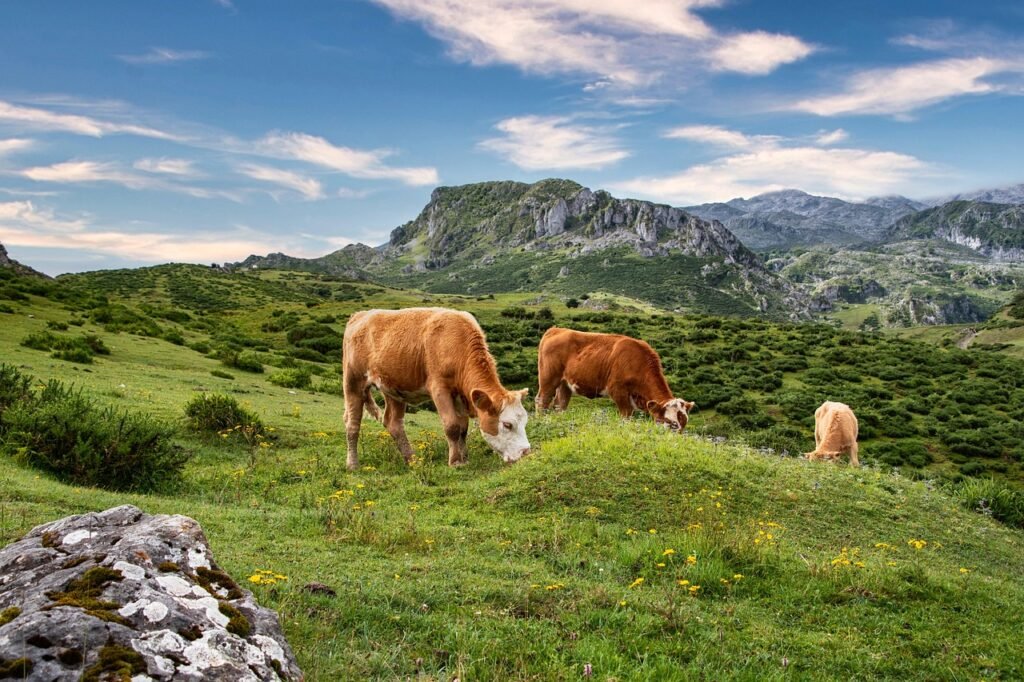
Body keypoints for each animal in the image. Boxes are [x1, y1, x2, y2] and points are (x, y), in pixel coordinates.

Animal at [342, 307, 530, 470]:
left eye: (525, 421)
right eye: (507, 424)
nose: (526, 452)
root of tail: (360, 315)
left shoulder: (460, 395)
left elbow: (463, 428)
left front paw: (464, 458)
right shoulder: (440, 388)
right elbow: (452, 426)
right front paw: (455, 462)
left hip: (393, 388)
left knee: (393, 423)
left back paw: (412, 460)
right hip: (353, 381)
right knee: (353, 423)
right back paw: (353, 464)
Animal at [536, 326, 694, 431]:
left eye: (684, 424)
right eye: (672, 424)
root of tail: (557, 329)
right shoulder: (618, 391)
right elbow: (626, 416)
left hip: (565, 383)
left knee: (560, 404)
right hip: (548, 377)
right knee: (542, 400)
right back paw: (541, 422)